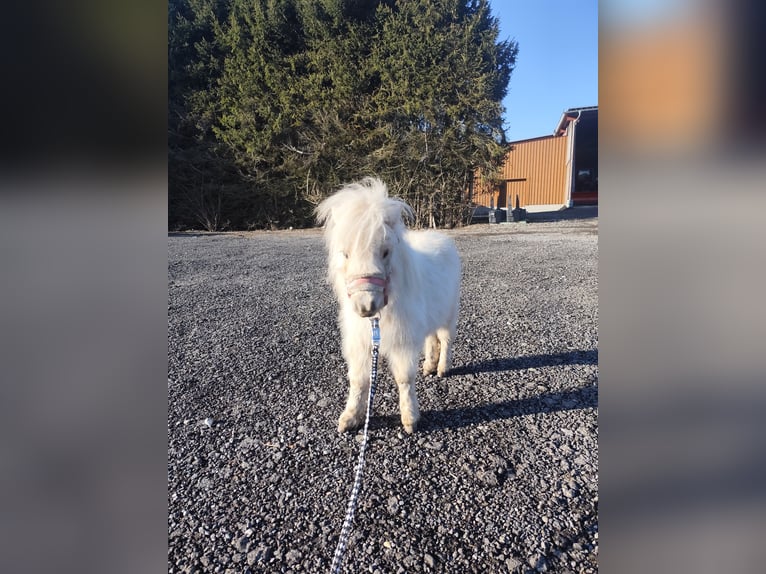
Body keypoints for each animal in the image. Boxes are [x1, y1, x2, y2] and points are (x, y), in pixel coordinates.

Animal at [315, 177, 461, 433]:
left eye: (385, 252)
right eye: (345, 254)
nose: (366, 306)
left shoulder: (403, 342)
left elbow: (404, 378)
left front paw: (410, 419)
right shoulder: (360, 342)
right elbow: (358, 380)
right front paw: (349, 418)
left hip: (448, 315)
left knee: (445, 340)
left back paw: (442, 368)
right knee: (431, 340)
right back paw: (429, 366)